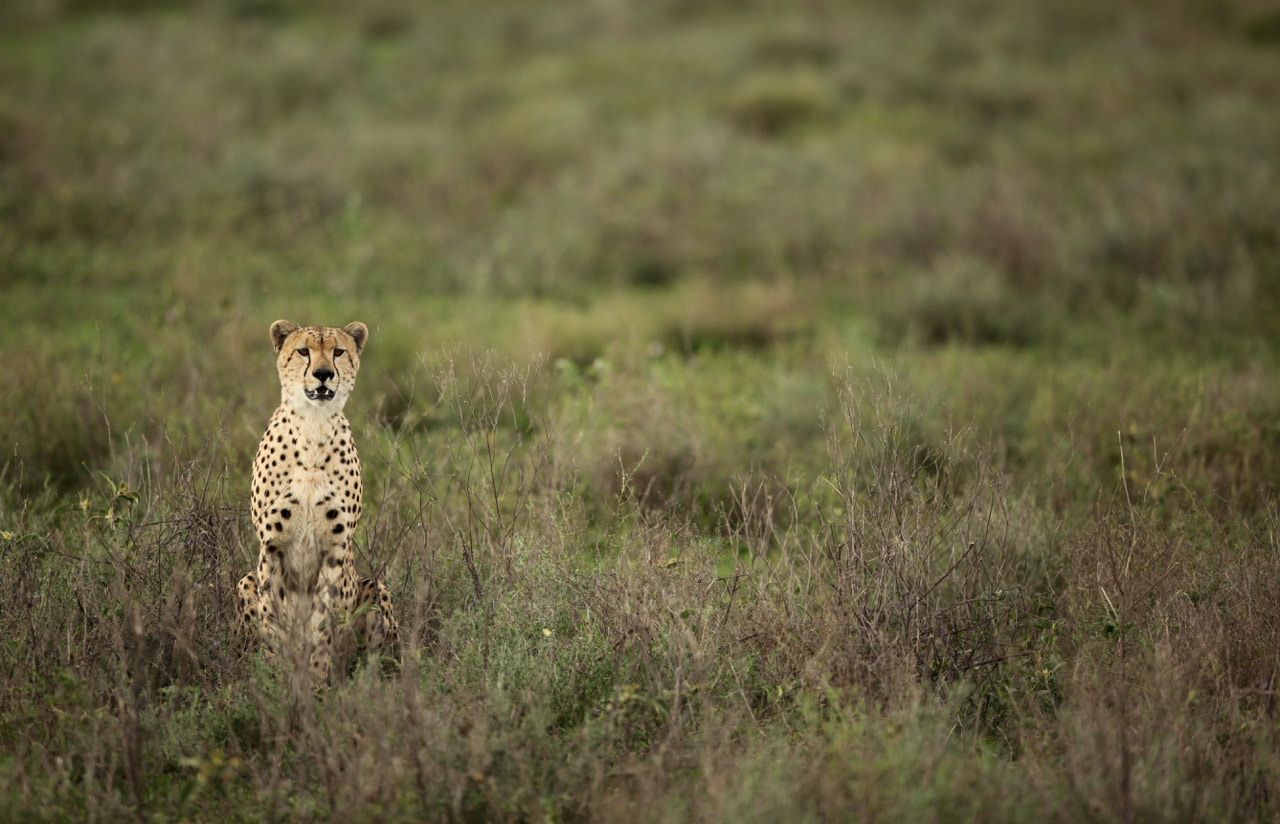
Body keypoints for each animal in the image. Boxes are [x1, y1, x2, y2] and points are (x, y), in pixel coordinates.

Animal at [235, 319, 398, 685]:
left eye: (338, 351)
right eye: (303, 351)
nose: (323, 374)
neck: (313, 424)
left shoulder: (335, 550)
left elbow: (323, 622)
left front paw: (316, 682)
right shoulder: (272, 547)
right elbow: (274, 619)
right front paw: (277, 680)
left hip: (375, 587)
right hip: (246, 580)